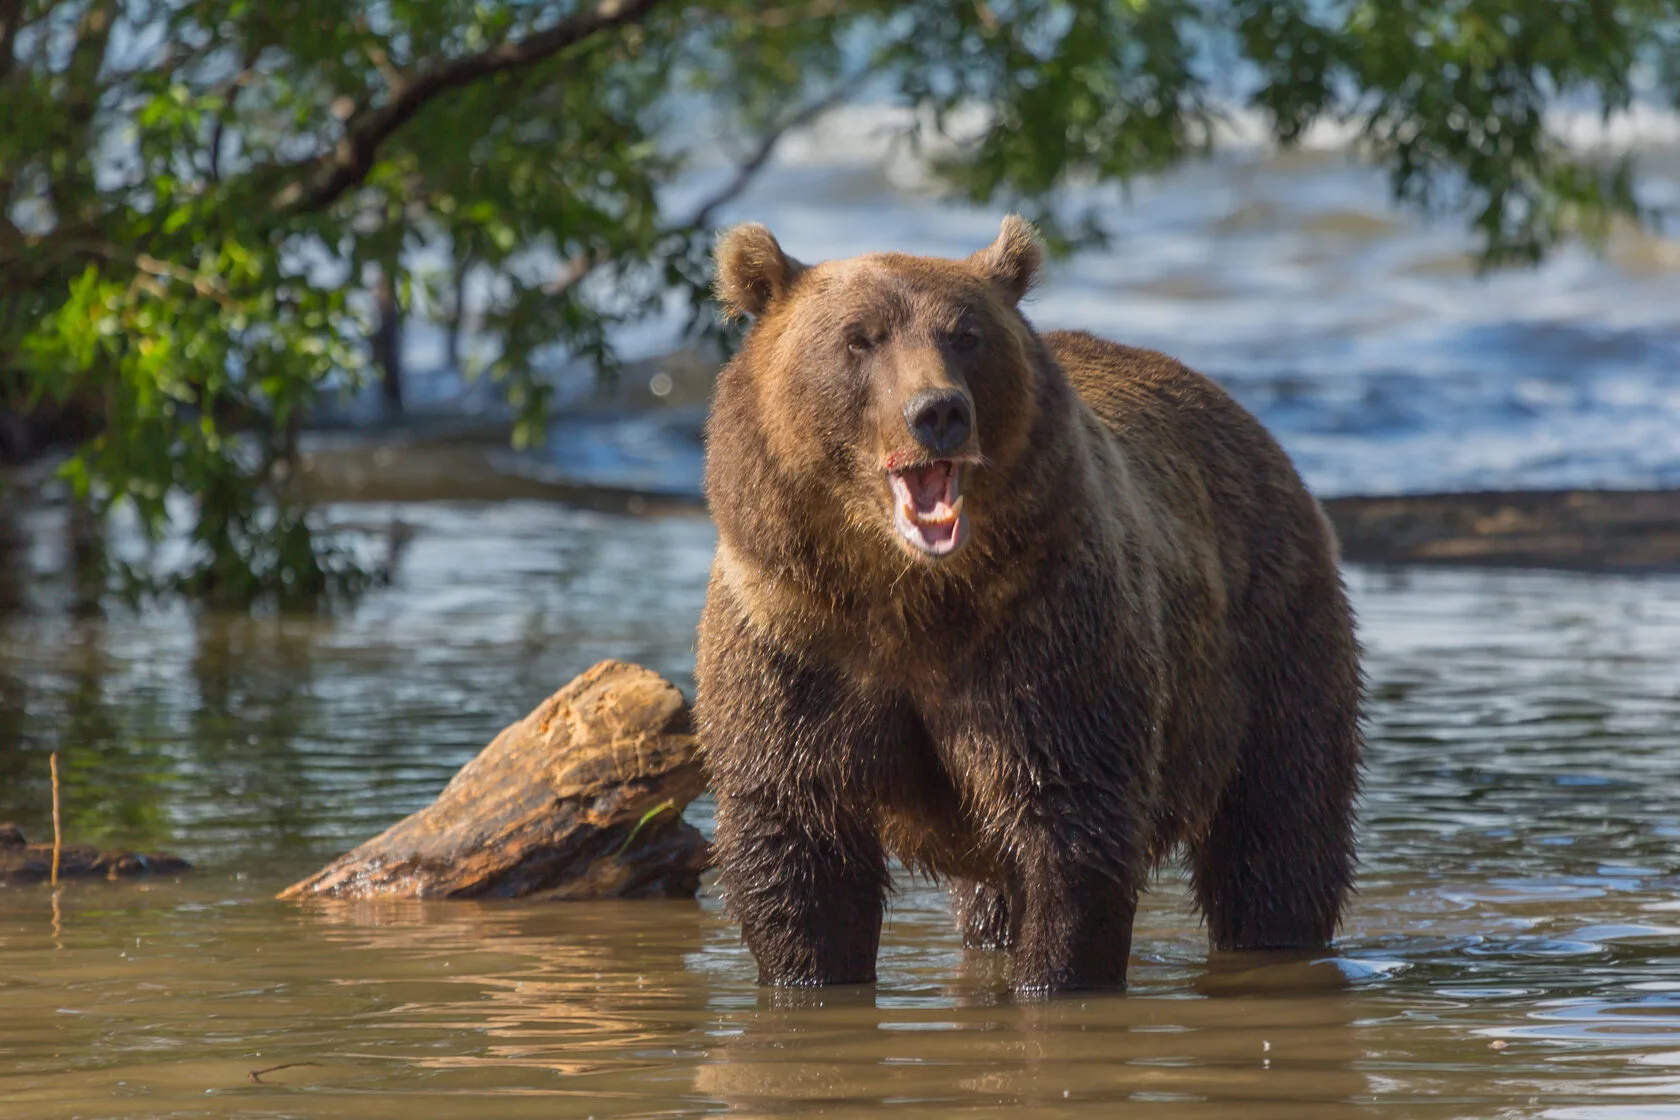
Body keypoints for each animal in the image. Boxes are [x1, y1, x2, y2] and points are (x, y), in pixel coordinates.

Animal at [695, 214, 1364, 994]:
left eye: (965, 335)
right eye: (860, 338)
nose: (938, 412)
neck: (905, 593)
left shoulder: (1041, 633)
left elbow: (1070, 821)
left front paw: (1056, 975)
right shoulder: (795, 640)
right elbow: (796, 841)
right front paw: (811, 970)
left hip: (1273, 632)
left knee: (1280, 826)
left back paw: (1277, 932)